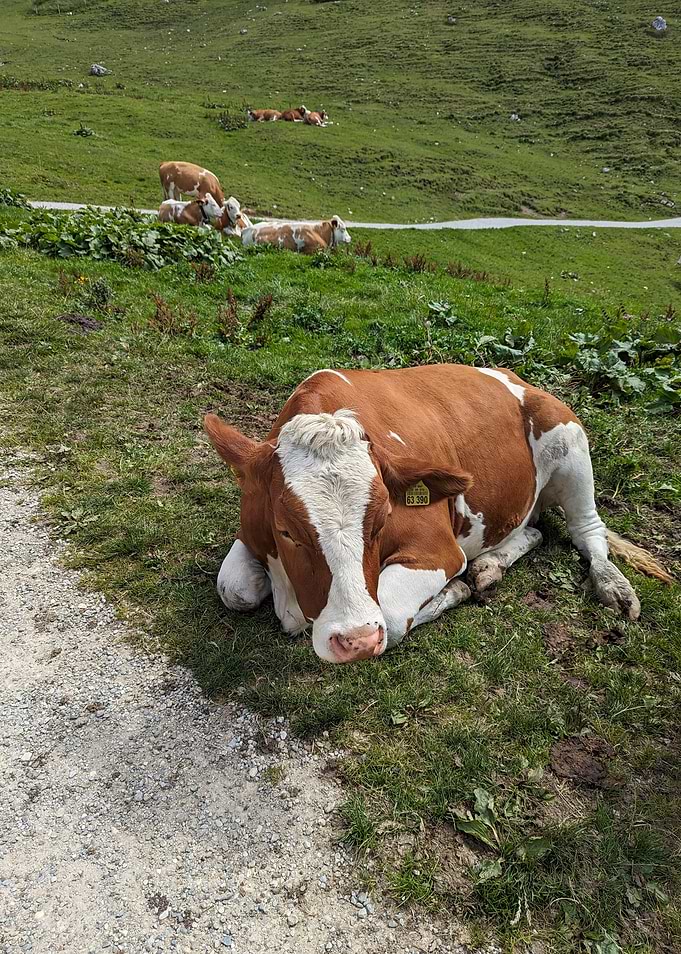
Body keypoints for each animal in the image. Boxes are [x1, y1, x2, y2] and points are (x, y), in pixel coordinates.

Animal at [204, 365, 672, 664]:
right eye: (286, 530)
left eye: (381, 520)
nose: (356, 641)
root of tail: (512, 375)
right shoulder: (251, 529)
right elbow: (233, 589)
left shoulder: (438, 551)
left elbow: (393, 618)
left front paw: (453, 592)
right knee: (535, 530)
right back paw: (490, 566)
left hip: (570, 440)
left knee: (587, 531)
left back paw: (613, 586)